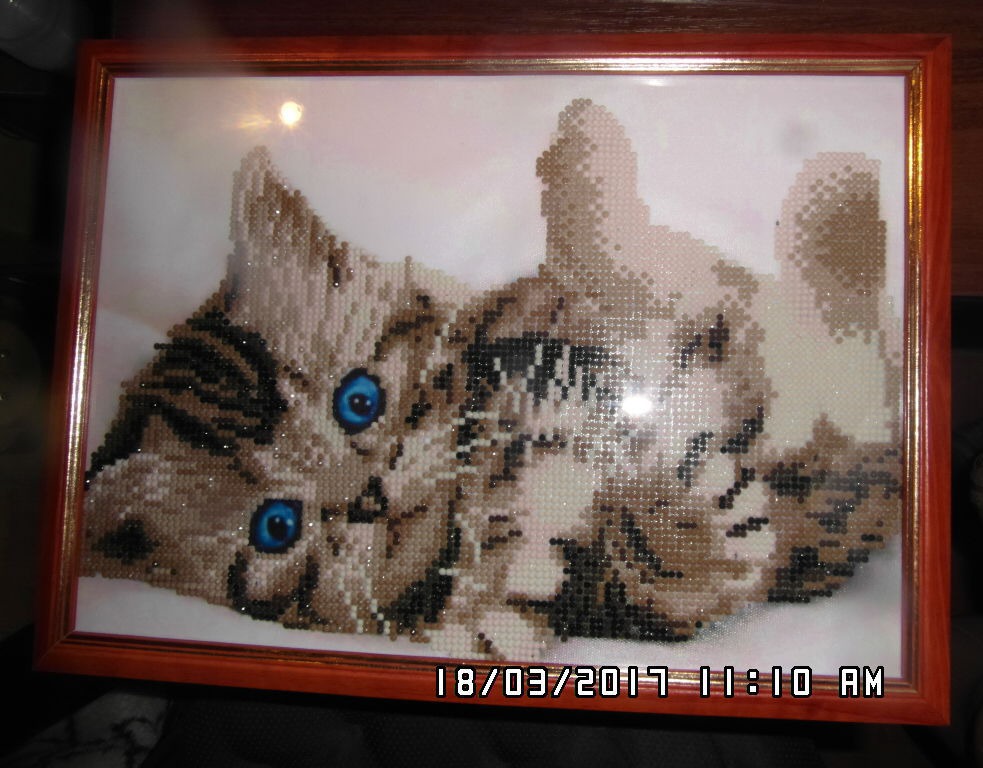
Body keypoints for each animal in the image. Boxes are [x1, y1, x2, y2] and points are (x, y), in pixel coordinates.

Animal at [82, 98, 902, 660]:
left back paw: (838, 197)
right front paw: (676, 510)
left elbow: (640, 286)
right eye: (276, 528)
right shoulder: (614, 605)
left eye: (358, 401)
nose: (368, 497)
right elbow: (662, 570)